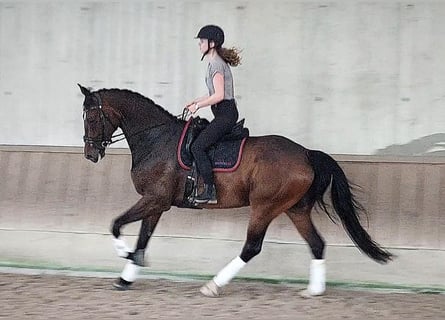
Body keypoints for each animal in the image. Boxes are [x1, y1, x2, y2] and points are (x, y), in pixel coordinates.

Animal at [78, 84, 390, 298]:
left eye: (91, 118)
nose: (90, 155)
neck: (157, 139)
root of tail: (306, 154)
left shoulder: (155, 199)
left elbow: (116, 225)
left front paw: (125, 256)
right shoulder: (157, 203)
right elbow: (142, 238)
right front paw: (126, 276)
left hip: (265, 207)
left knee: (252, 247)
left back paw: (213, 285)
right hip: (295, 208)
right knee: (316, 244)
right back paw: (313, 291)